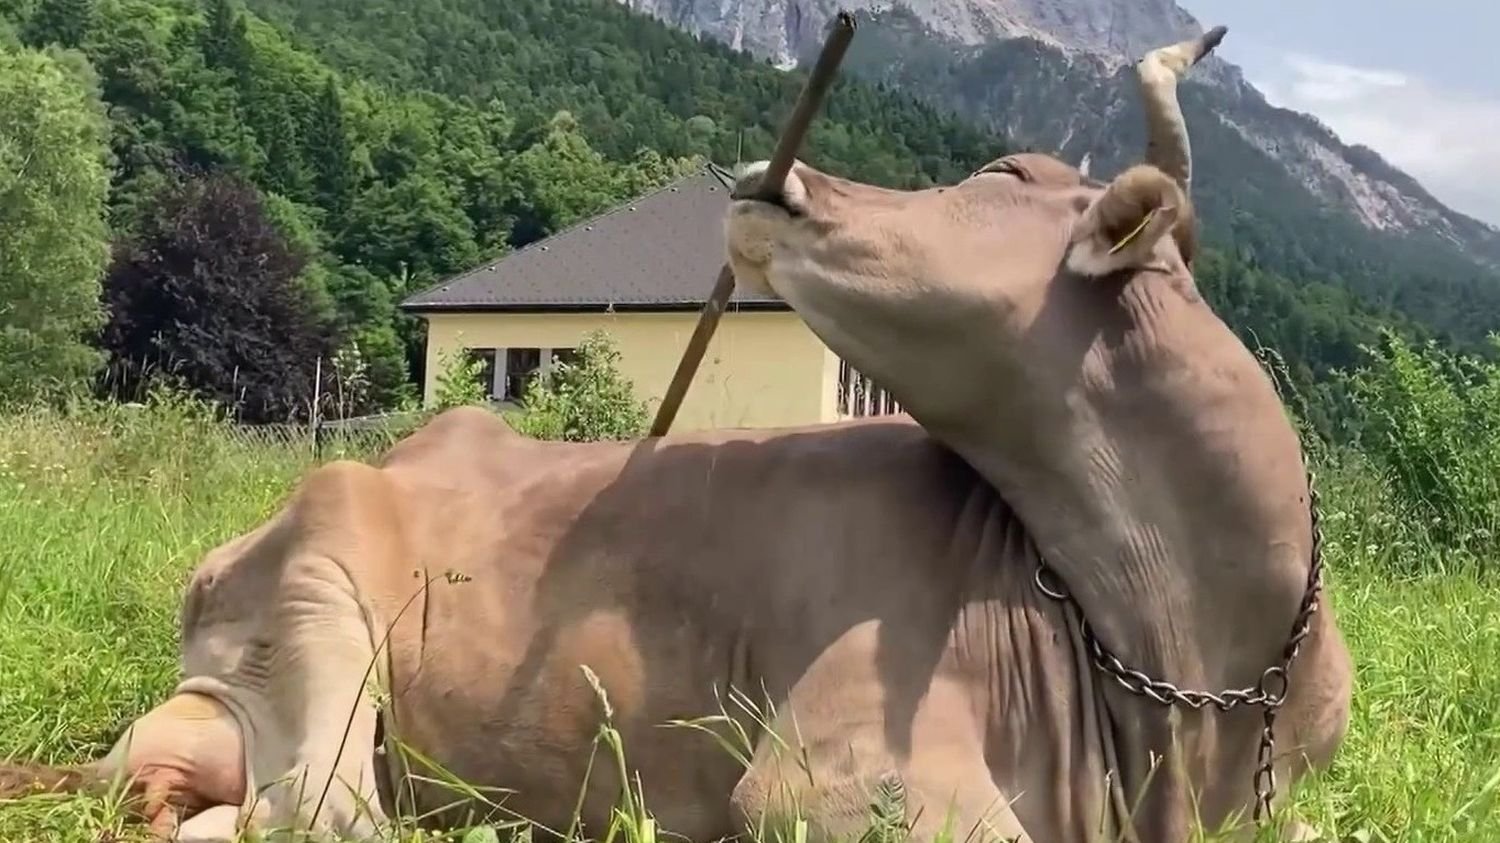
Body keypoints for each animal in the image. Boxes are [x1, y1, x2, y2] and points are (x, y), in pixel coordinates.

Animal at [3, 25, 1352, 843]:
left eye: (1006, 177)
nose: (774, 175)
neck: (1189, 669)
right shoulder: (836, 776)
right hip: (318, 609)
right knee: (320, 819)